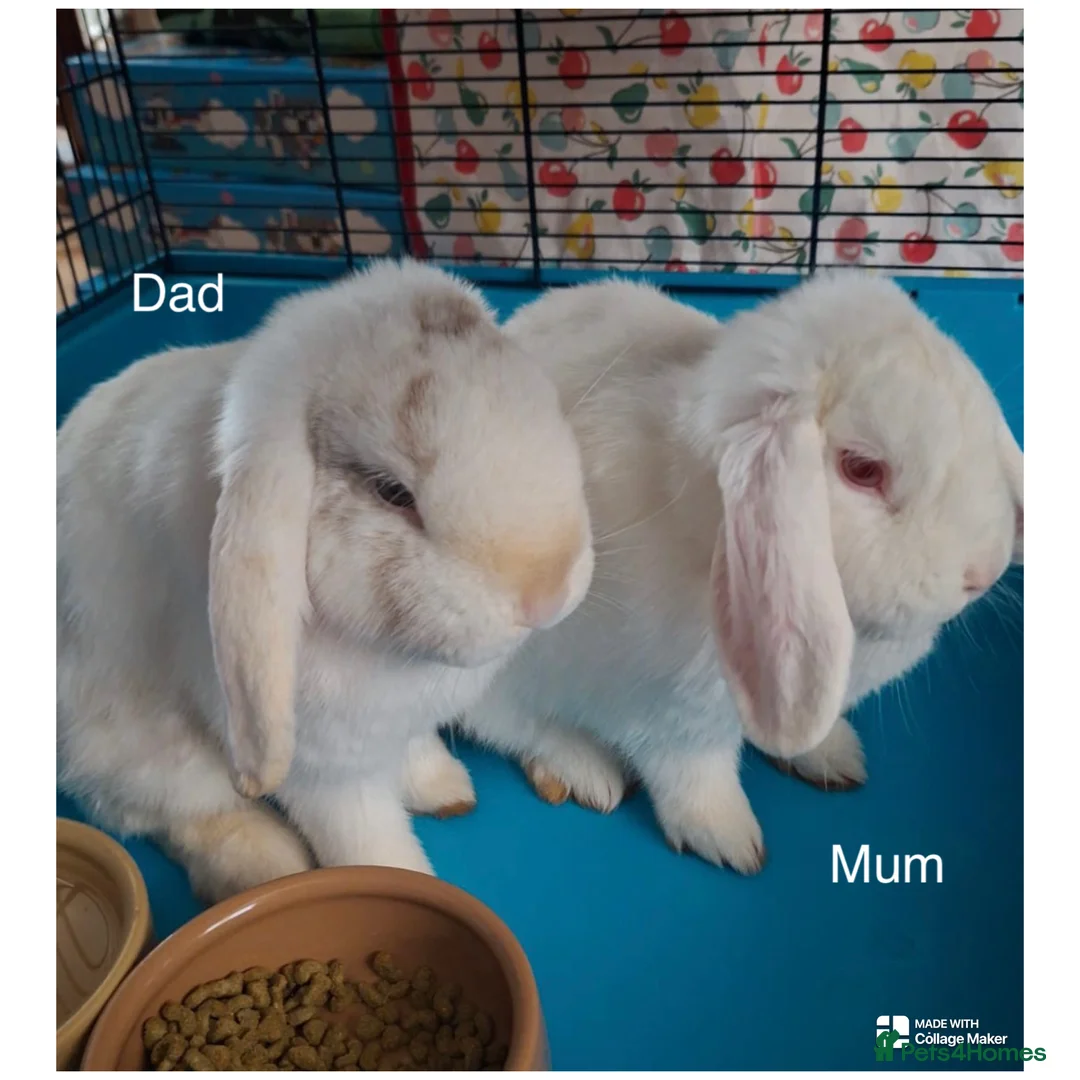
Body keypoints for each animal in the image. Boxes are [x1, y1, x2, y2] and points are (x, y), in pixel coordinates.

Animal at [57, 259, 594, 902]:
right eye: (393, 492)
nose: (548, 594)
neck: (394, 652)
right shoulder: (325, 774)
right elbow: (367, 841)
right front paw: (401, 877)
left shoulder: (399, 726)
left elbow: (413, 752)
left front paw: (442, 787)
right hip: (140, 756)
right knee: (175, 816)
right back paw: (266, 862)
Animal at [406, 271, 1023, 874]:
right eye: (863, 469)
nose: (983, 572)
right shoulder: (662, 714)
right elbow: (691, 772)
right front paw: (728, 839)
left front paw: (831, 755)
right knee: (502, 722)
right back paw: (581, 768)